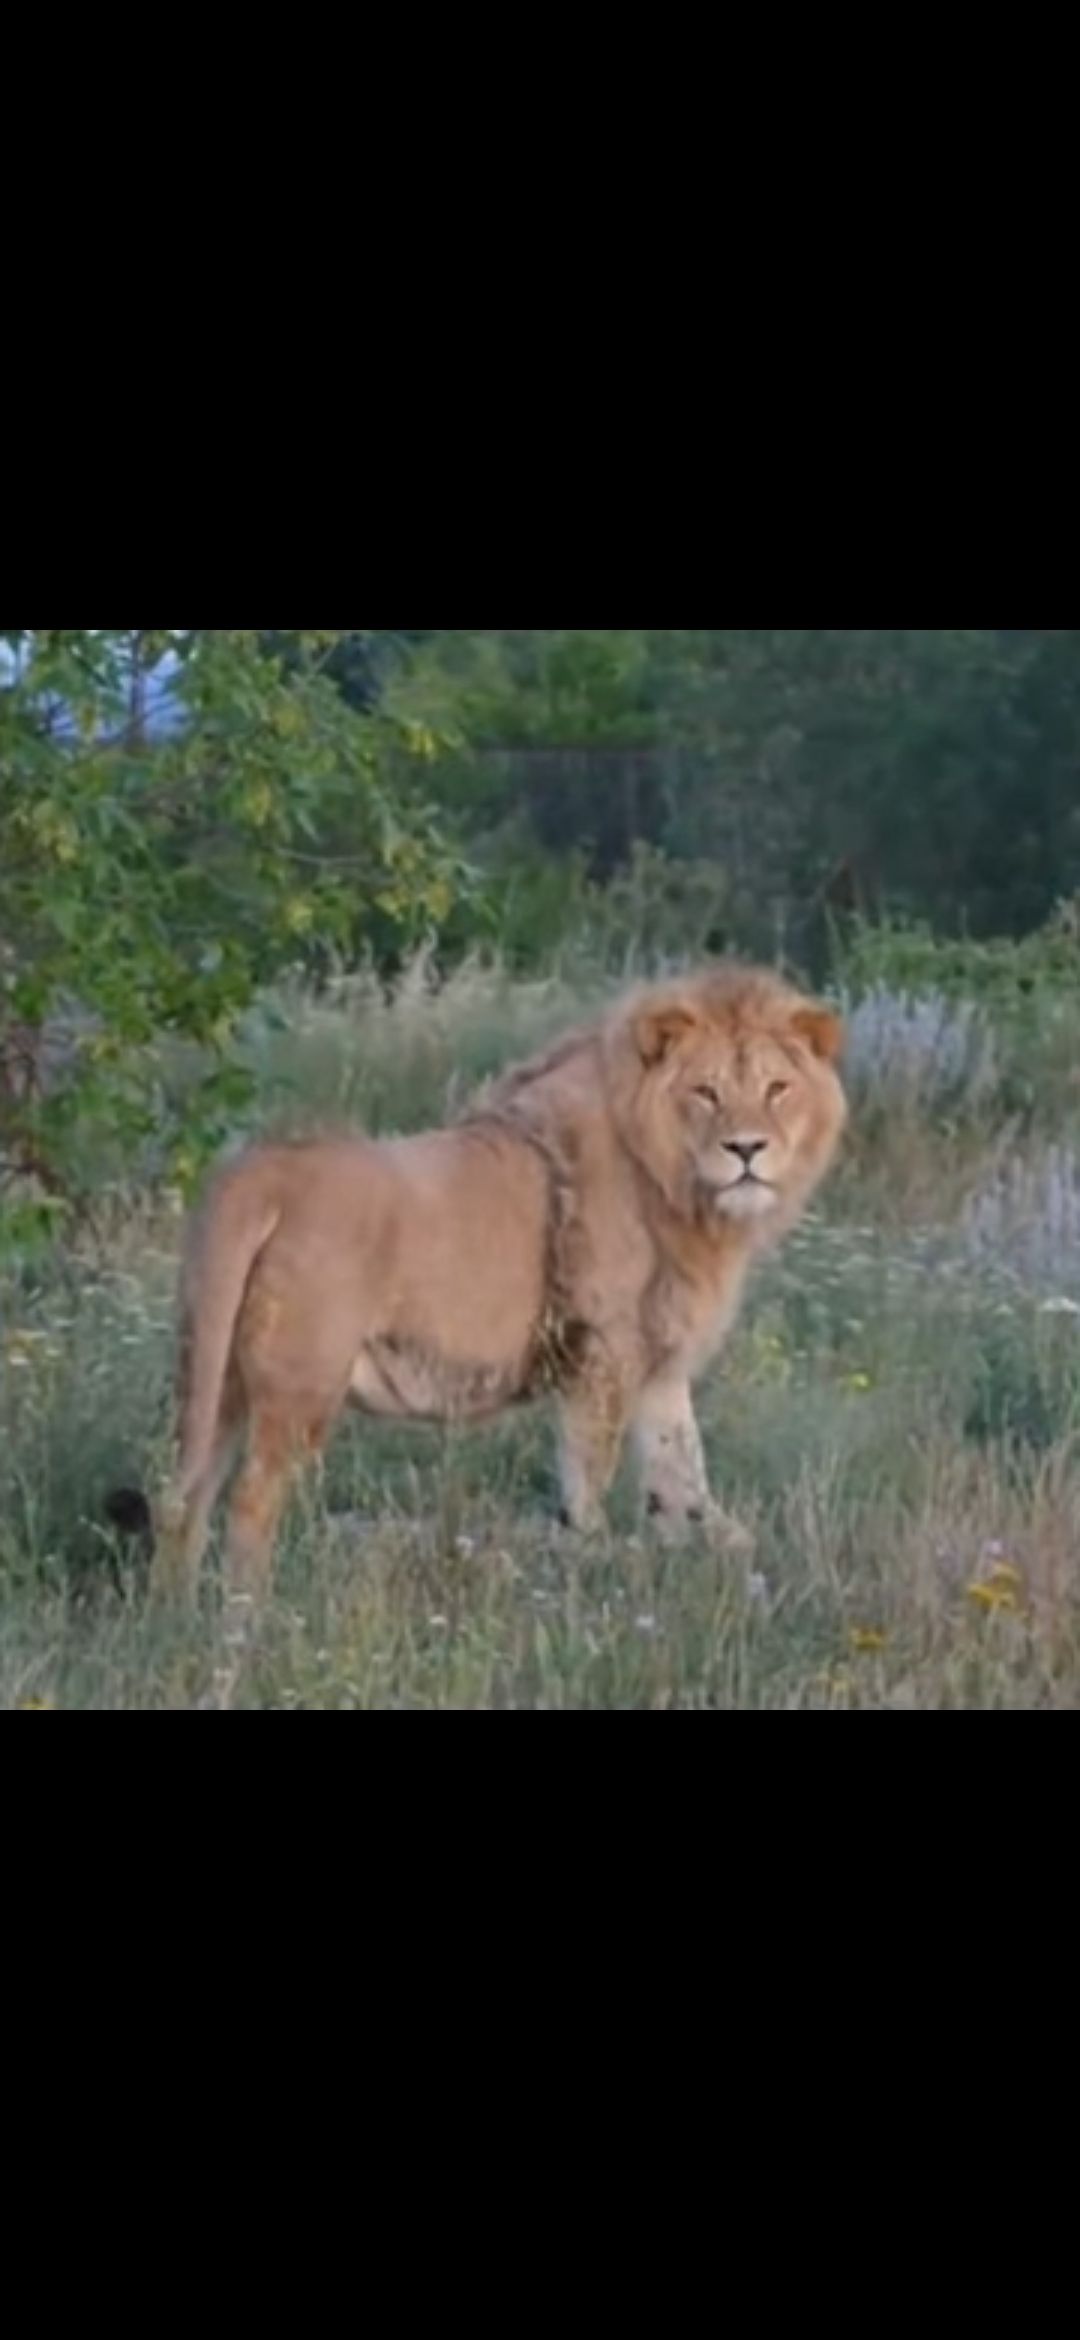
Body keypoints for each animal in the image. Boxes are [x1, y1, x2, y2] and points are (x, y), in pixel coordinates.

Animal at [147, 968, 846, 1609]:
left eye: (777, 1089)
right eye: (705, 1092)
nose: (747, 1149)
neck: (682, 1190)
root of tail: (259, 1171)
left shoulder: (659, 1366)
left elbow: (683, 1479)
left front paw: (708, 1564)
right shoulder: (603, 1356)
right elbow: (589, 1482)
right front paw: (594, 1575)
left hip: (216, 1373)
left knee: (185, 1497)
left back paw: (175, 1617)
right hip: (302, 1386)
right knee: (249, 1501)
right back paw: (248, 1622)